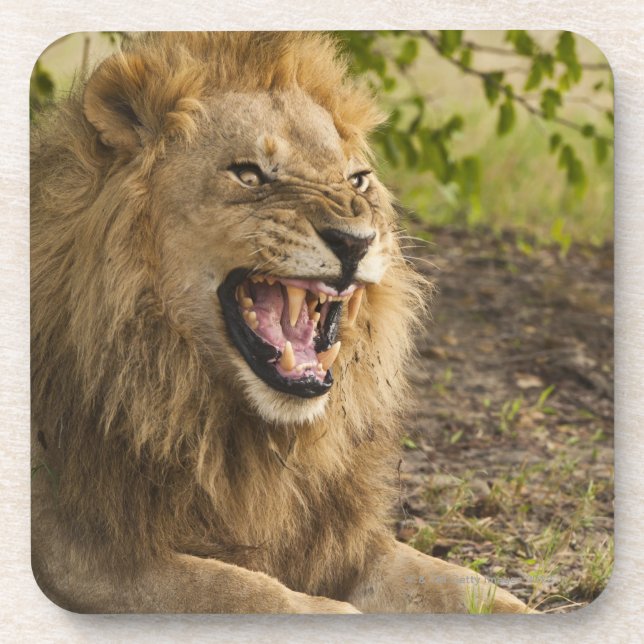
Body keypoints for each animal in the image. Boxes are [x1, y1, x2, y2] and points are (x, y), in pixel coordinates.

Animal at [30, 31, 529, 614]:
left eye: (358, 179)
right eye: (249, 174)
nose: (356, 241)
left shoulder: (343, 540)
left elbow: (462, 584)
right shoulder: (80, 549)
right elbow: (240, 589)